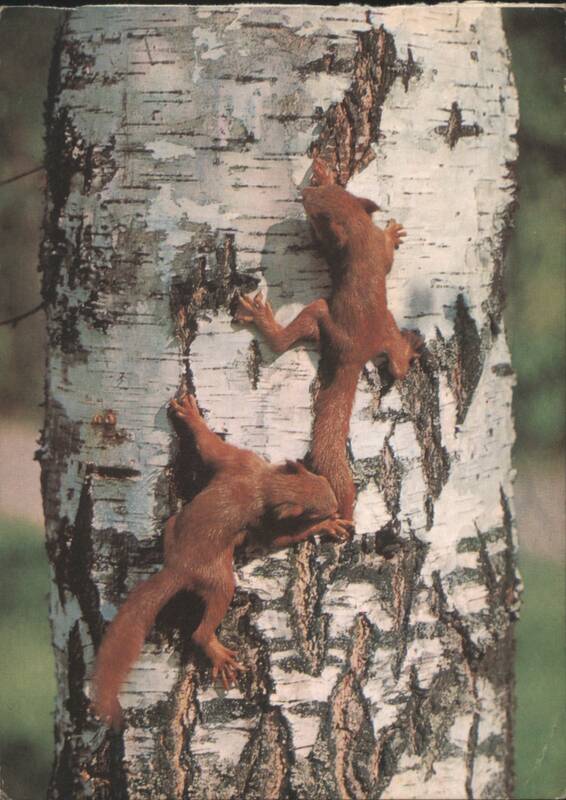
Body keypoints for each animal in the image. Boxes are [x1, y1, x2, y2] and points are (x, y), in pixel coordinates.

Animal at [91, 393, 352, 729]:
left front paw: (190, 415)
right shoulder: (261, 513)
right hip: (219, 580)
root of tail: (178, 568)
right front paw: (327, 526)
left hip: (174, 527)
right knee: (203, 627)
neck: (264, 484)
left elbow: (210, 447)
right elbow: (277, 539)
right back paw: (217, 651)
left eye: (317, 477)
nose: (335, 504)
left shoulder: (240, 462)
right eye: (313, 511)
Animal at [235, 158, 422, 521]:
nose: (304, 193)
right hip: (388, 326)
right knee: (397, 366)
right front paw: (393, 233)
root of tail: (357, 352)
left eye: (316, 211)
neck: (359, 229)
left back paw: (263, 320)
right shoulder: (376, 248)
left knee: (283, 342)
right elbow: (388, 257)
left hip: (321, 311)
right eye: (330, 191)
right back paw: (409, 350)